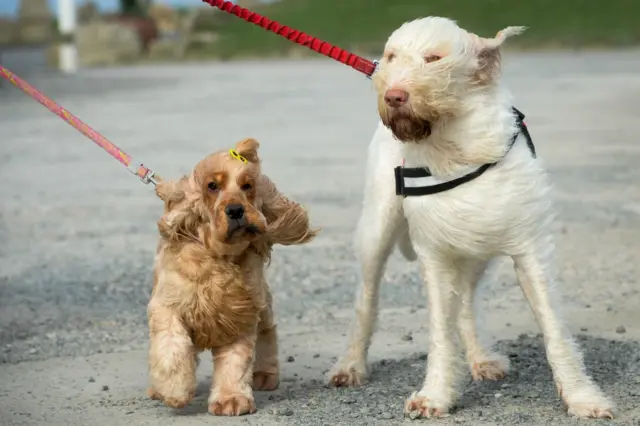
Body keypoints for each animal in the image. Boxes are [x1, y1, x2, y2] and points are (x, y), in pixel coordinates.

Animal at [330, 16, 616, 420]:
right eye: (390, 57)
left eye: (433, 58)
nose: (394, 96)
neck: (457, 148)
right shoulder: (434, 256)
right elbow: (439, 330)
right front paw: (435, 394)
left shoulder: (530, 251)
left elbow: (554, 328)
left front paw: (582, 397)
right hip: (378, 230)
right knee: (366, 300)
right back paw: (351, 365)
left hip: (477, 252)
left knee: (465, 303)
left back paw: (480, 358)